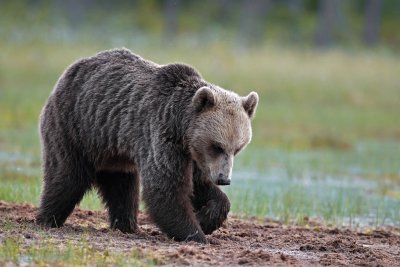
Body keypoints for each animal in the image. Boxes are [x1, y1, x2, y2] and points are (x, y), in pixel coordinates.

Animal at [36, 47, 258, 244]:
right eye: (217, 146)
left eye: (237, 148)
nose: (224, 179)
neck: (182, 129)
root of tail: (70, 71)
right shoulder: (161, 136)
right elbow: (166, 188)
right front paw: (196, 235)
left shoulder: (192, 154)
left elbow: (198, 185)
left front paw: (207, 219)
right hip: (75, 127)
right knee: (67, 177)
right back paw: (47, 219)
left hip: (114, 150)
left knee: (122, 187)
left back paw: (125, 225)